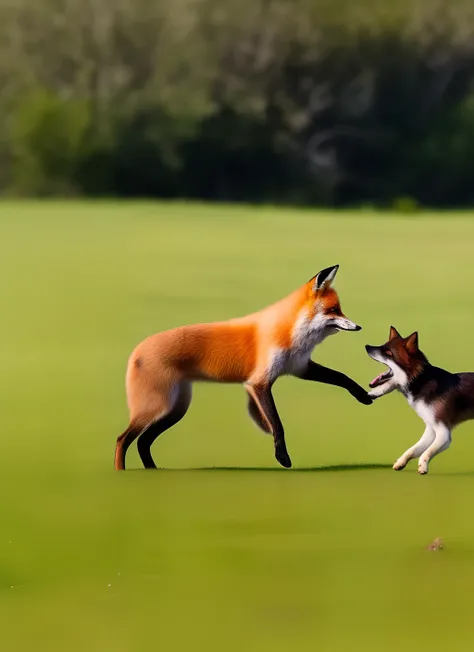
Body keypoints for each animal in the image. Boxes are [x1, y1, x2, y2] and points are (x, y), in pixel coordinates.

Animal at [115, 262, 374, 472]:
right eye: (333, 310)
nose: (359, 327)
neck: (293, 334)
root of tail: (136, 350)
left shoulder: (300, 367)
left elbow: (342, 377)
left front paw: (362, 396)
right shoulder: (259, 382)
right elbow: (277, 424)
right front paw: (282, 457)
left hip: (175, 409)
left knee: (143, 441)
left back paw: (152, 471)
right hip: (156, 407)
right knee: (123, 439)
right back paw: (121, 473)